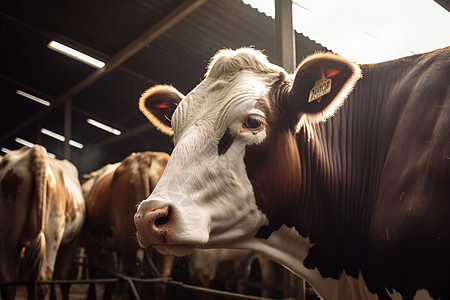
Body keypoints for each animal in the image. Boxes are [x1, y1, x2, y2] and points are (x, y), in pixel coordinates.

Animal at [0, 144, 85, 298]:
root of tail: (35, 150)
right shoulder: (73, 242)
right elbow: (65, 277)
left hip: (5, 229)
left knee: (8, 281)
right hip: (53, 235)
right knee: (43, 280)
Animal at [81, 152, 173, 300]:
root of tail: (146, 155)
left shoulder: (91, 242)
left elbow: (95, 270)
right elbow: (110, 267)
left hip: (127, 244)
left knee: (134, 278)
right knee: (162, 280)